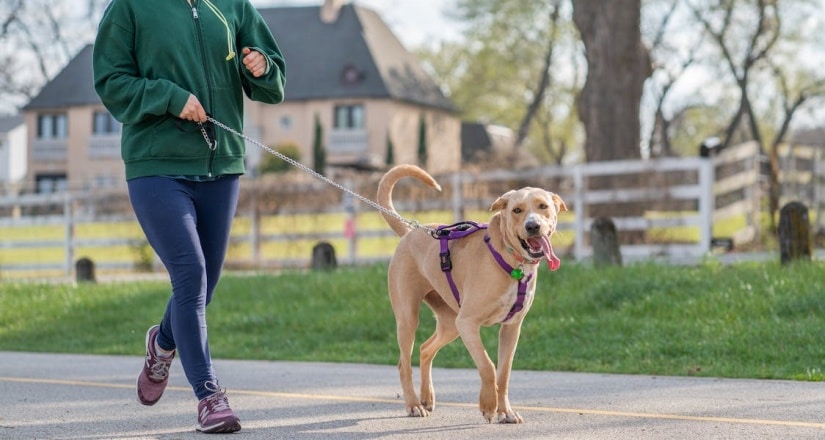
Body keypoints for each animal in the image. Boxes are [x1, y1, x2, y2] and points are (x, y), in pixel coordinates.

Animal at [378, 164, 568, 422]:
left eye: (543, 206)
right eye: (517, 210)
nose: (532, 226)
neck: (511, 259)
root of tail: (410, 231)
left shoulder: (511, 328)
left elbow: (503, 373)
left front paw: (505, 411)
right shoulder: (468, 323)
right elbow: (488, 366)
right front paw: (488, 405)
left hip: (450, 324)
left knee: (425, 349)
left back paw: (427, 397)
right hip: (410, 318)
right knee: (403, 364)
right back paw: (414, 405)